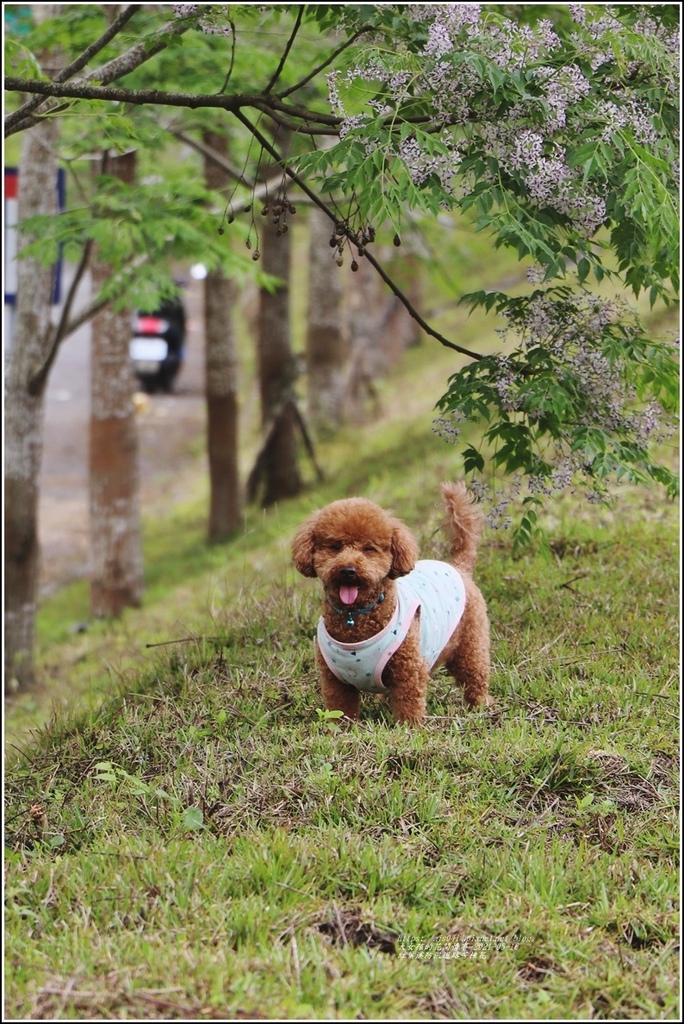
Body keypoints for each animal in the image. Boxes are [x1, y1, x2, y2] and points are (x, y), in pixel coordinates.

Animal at [290, 483, 489, 724]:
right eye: (335, 546)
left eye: (369, 549)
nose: (348, 571)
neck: (354, 619)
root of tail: (459, 567)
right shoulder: (335, 680)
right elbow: (341, 710)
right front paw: (339, 730)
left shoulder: (408, 670)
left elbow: (408, 704)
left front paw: (409, 728)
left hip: (470, 644)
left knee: (475, 675)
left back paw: (481, 707)